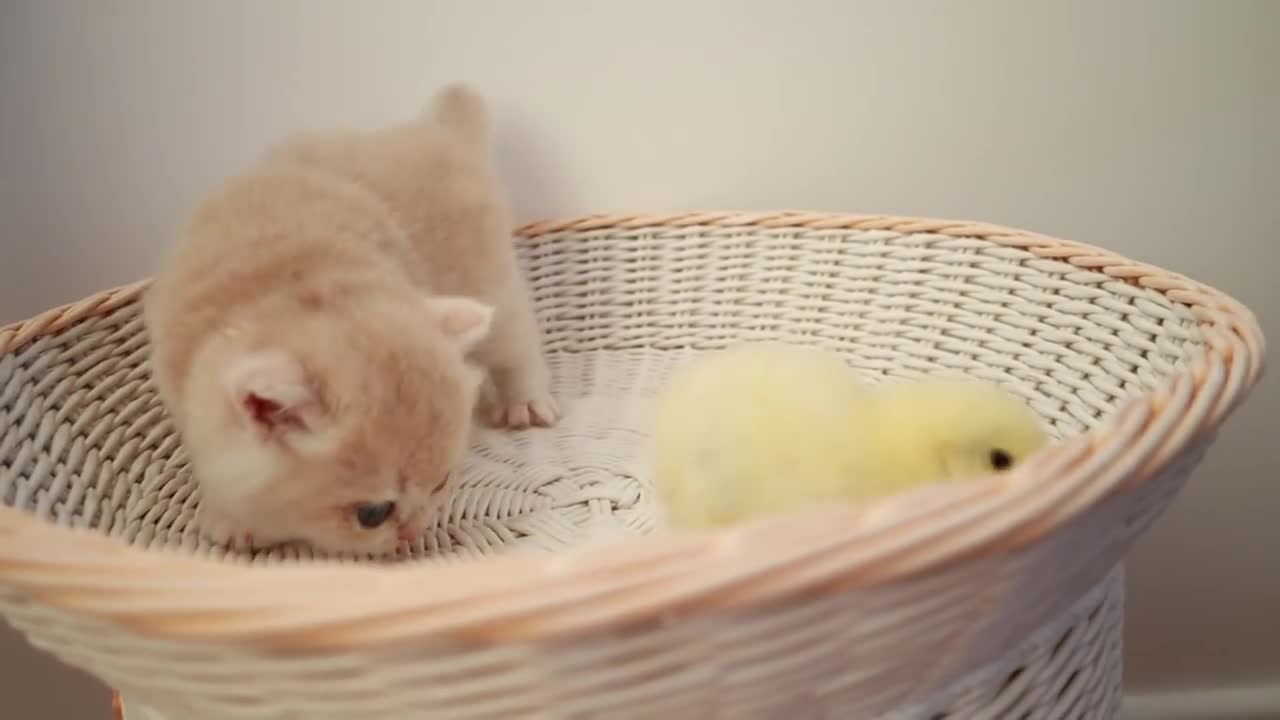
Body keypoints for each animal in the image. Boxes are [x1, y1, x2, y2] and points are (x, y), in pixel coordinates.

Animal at [144, 83, 555, 556]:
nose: (412, 534)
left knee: (515, 343)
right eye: (372, 514)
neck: (293, 282)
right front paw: (230, 518)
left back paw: (524, 401)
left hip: (489, 282)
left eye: (441, 484)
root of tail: (434, 131)